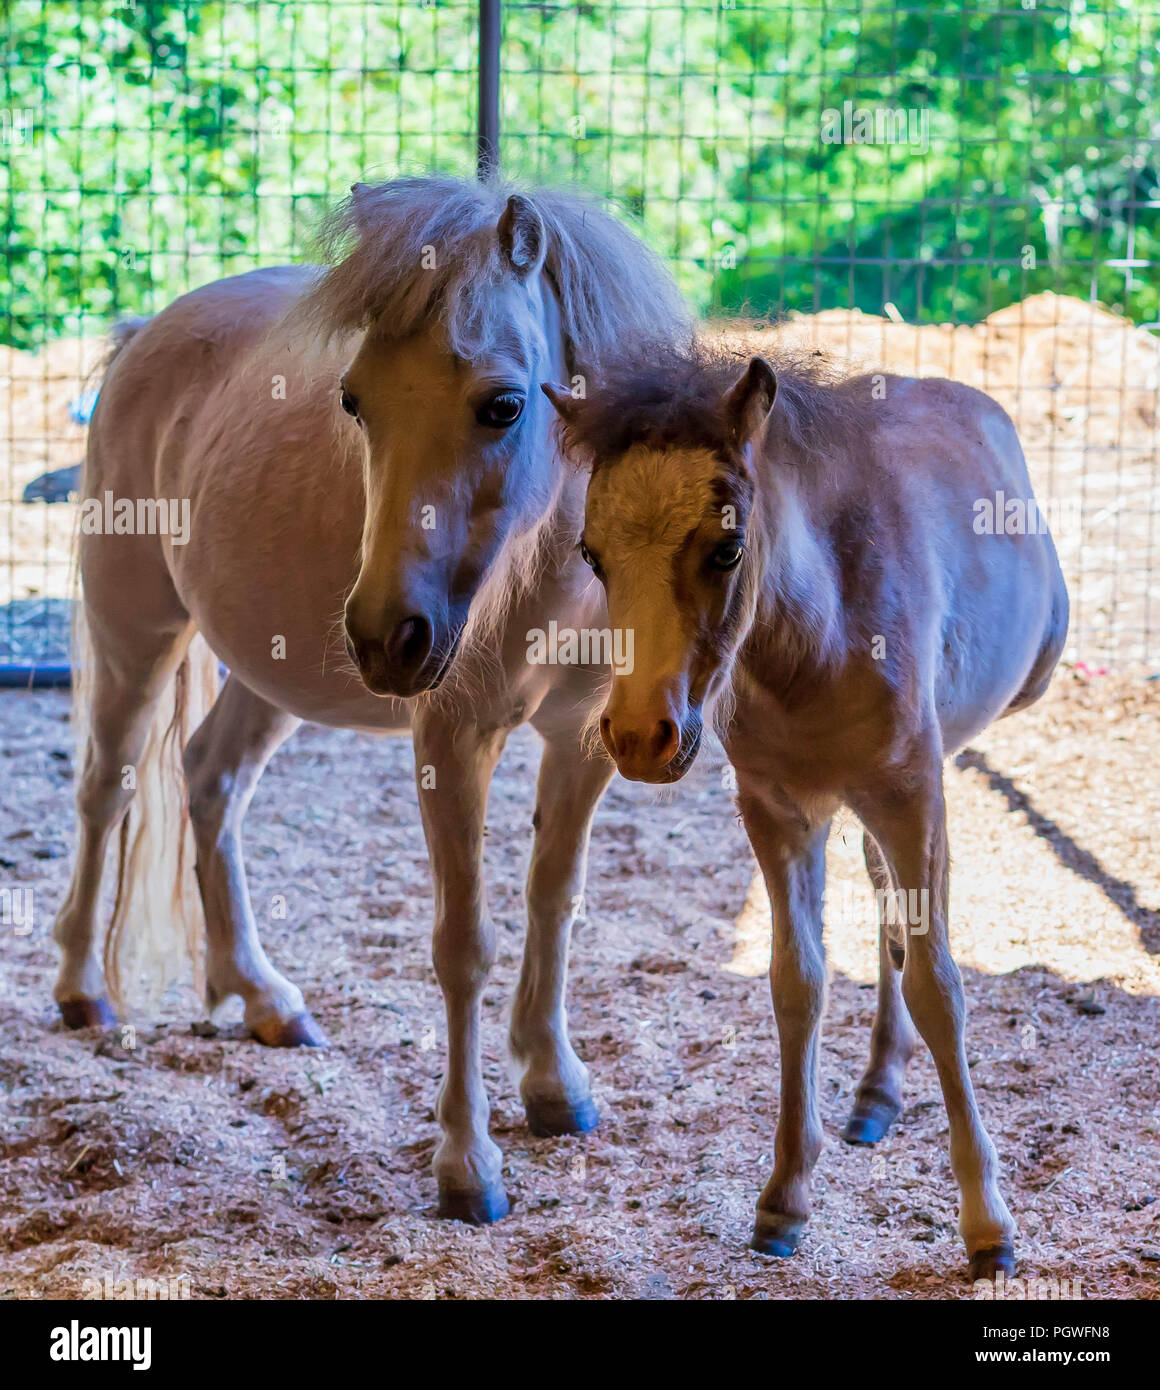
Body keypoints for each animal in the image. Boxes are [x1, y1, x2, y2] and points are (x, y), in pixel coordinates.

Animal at [552, 341, 1072, 1273]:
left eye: (726, 549)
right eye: (592, 554)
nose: (640, 736)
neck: (818, 636)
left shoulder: (911, 792)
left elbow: (940, 985)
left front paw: (988, 1226)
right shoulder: (778, 812)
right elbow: (797, 983)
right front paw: (785, 1199)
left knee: (909, 917)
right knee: (883, 903)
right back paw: (875, 1093)